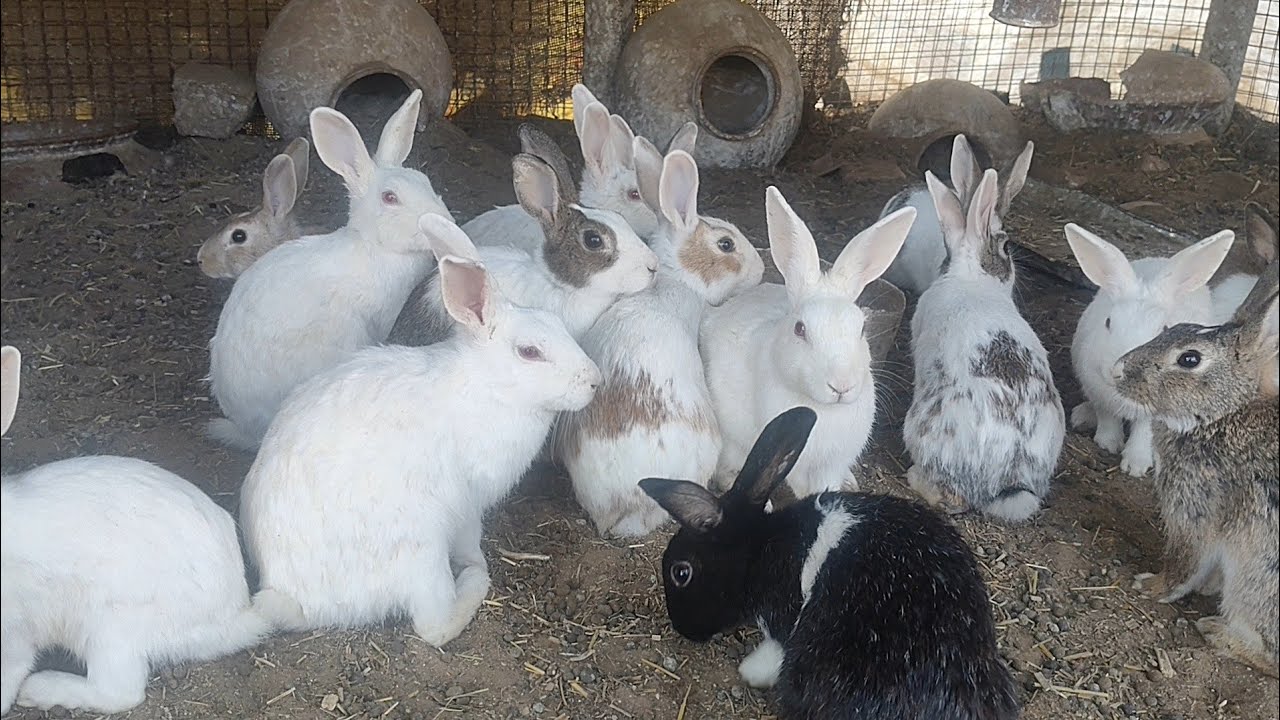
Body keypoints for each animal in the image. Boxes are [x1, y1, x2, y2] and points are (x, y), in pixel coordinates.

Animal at [239, 215, 602, 646]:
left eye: (558, 325)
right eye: (529, 352)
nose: (594, 381)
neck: (488, 385)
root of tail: (290, 596)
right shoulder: (467, 503)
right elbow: (469, 541)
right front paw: (476, 563)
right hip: (420, 553)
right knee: (433, 627)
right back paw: (473, 584)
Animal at [638, 406, 1020, 720]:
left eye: (681, 572)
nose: (684, 630)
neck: (761, 548)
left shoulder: (782, 619)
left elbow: (771, 654)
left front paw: (748, 671)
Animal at [1065, 224, 1235, 477]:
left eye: (1164, 329)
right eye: (1108, 322)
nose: (1119, 369)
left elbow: (1144, 432)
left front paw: (1136, 465)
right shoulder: (1096, 390)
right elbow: (1107, 418)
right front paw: (1107, 443)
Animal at [1114, 290, 1278, 678]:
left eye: (1190, 358)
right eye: (1173, 328)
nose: (1117, 369)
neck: (1222, 416)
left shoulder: (1194, 508)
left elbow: (1185, 562)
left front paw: (1151, 586)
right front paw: (1206, 588)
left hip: (1256, 577)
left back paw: (1218, 632)